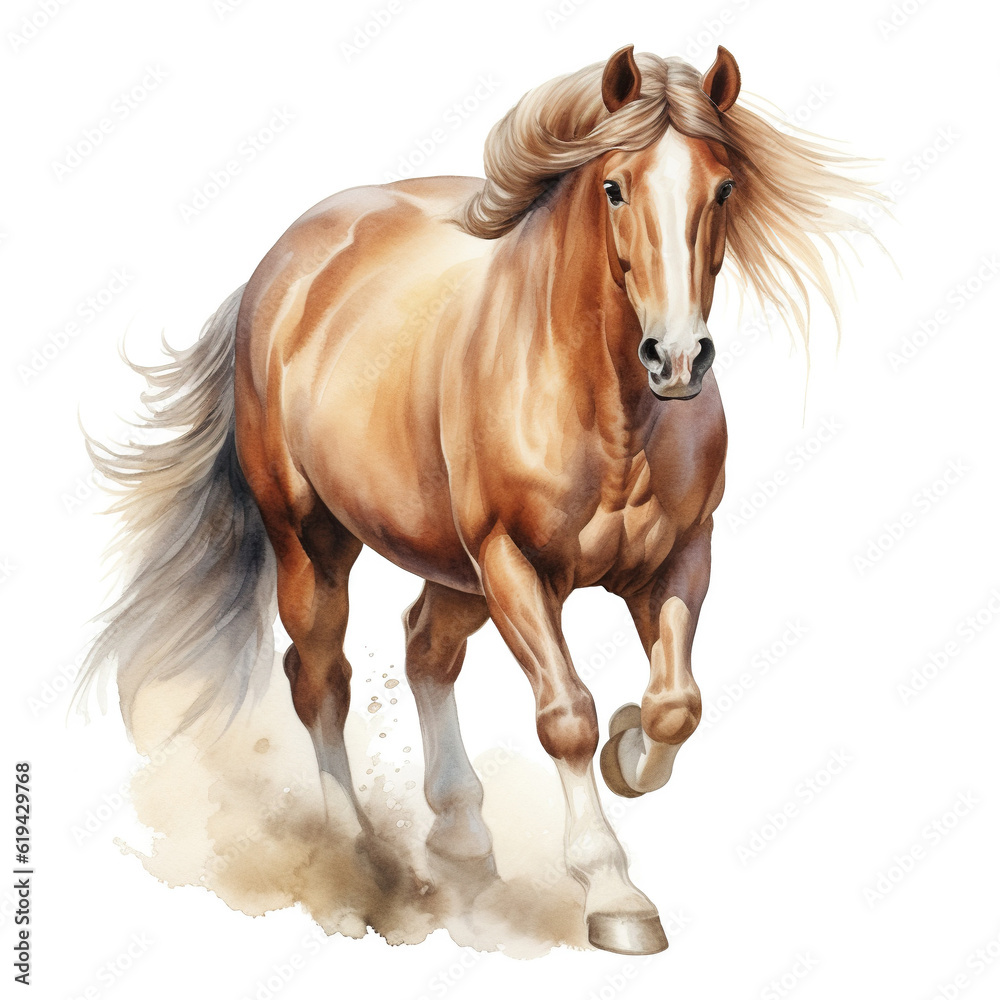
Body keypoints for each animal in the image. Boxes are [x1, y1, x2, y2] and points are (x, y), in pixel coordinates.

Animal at [80, 45, 878, 955]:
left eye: (724, 187)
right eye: (614, 187)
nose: (677, 358)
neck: (608, 411)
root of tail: (282, 263)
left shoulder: (681, 558)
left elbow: (678, 704)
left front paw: (628, 752)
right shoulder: (514, 565)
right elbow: (567, 714)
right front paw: (614, 893)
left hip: (450, 568)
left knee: (425, 647)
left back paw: (461, 841)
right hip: (316, 542)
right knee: (319, 675)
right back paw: (359, 860)